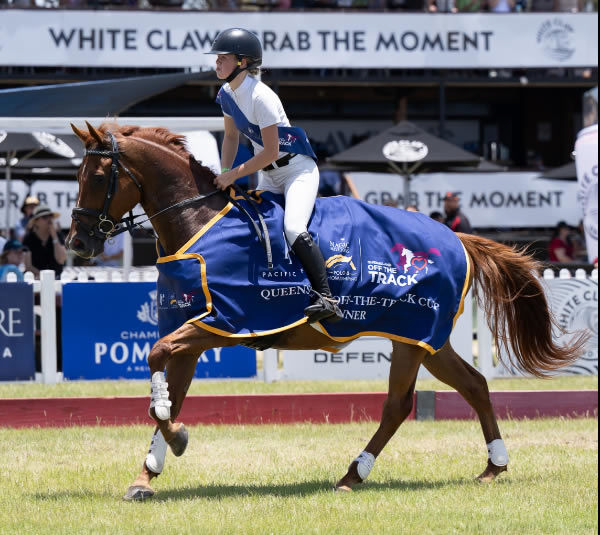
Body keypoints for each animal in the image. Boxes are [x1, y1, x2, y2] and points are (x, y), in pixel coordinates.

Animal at [68, 122, 584, 502]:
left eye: (96, 178)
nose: (78, 243)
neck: (199, 223)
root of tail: (454, 235)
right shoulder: (192, 334)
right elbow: (169, 393)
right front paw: (148, 472)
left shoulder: (221, 325)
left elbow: (155, 358)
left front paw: (175, 440)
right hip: (425, 339)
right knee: (472, 385)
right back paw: (491, 466)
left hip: (415, 332)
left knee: (399, 404)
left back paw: (355, 474)